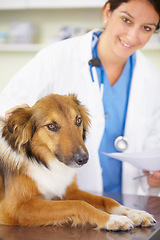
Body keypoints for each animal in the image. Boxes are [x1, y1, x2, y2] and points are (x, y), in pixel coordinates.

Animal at [0, 94, 156, 231]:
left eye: (78, 120)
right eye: (51, 126)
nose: (83, 159)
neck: (44, 162)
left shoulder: (67, 191)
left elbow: (106, 199)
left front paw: (135, 213)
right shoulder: (15, 208)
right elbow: (79, 205)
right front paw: (112, 219)